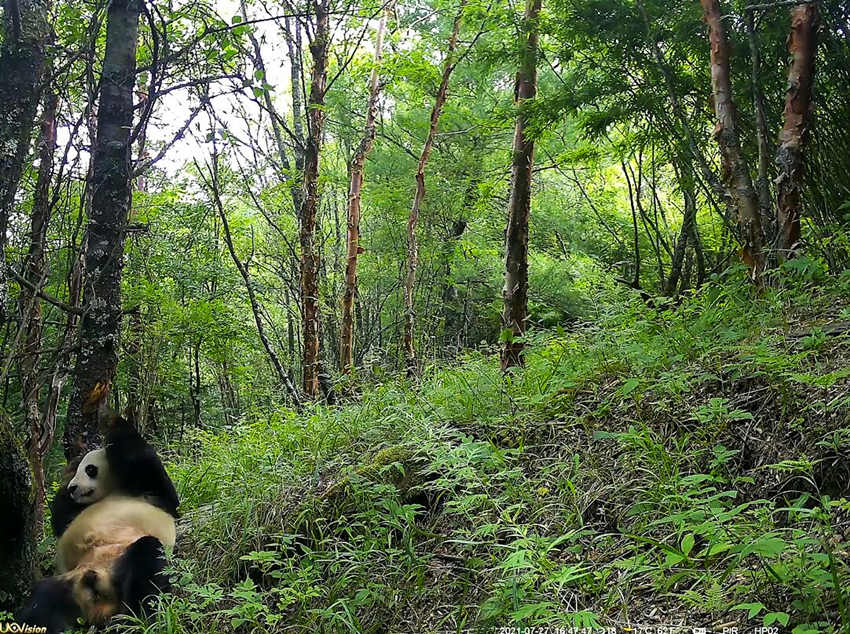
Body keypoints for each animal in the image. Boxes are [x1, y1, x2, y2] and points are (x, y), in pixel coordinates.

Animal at [19, 412, 180, 628]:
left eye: (90, 469)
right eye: (77, 471)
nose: (73, 488)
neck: (114, 489)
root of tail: (98, 599)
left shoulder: (153, 492)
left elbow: (149, 467)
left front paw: (112, 420)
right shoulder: (74, 509)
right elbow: (61, 519)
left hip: (122, 559)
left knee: (147, 565)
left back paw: (136, 620)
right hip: (71, 580)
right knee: (44, 600)